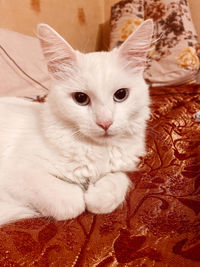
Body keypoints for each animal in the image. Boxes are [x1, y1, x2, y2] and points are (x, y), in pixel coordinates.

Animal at [0, 19, 154, 227]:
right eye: (80, 98)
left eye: (121, 95)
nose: (105, 123)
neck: (97, 150)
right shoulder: (16, 172)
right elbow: (71, 203)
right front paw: (81, 197)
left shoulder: (121, 167)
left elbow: (120, 179)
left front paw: (99, 197)